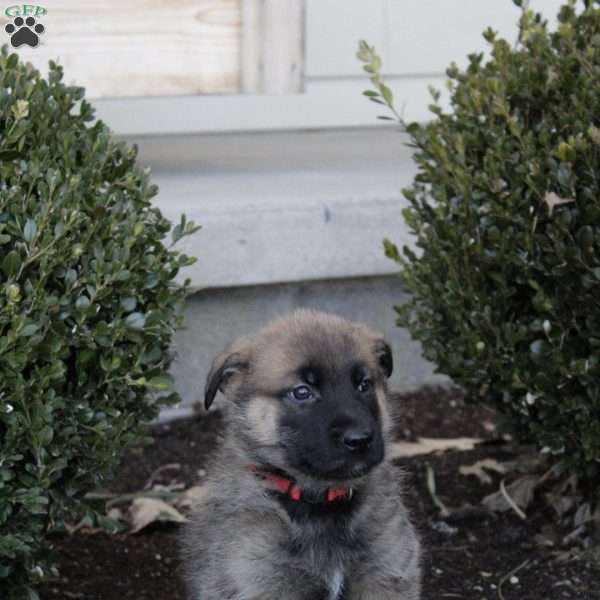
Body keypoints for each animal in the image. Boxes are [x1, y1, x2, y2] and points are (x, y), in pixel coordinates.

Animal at [180, 310, 420, 600]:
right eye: (302, 392)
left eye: (364, 385)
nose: (359, 440)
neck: (320, 502)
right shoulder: (262, 583)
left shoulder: (386, 572)